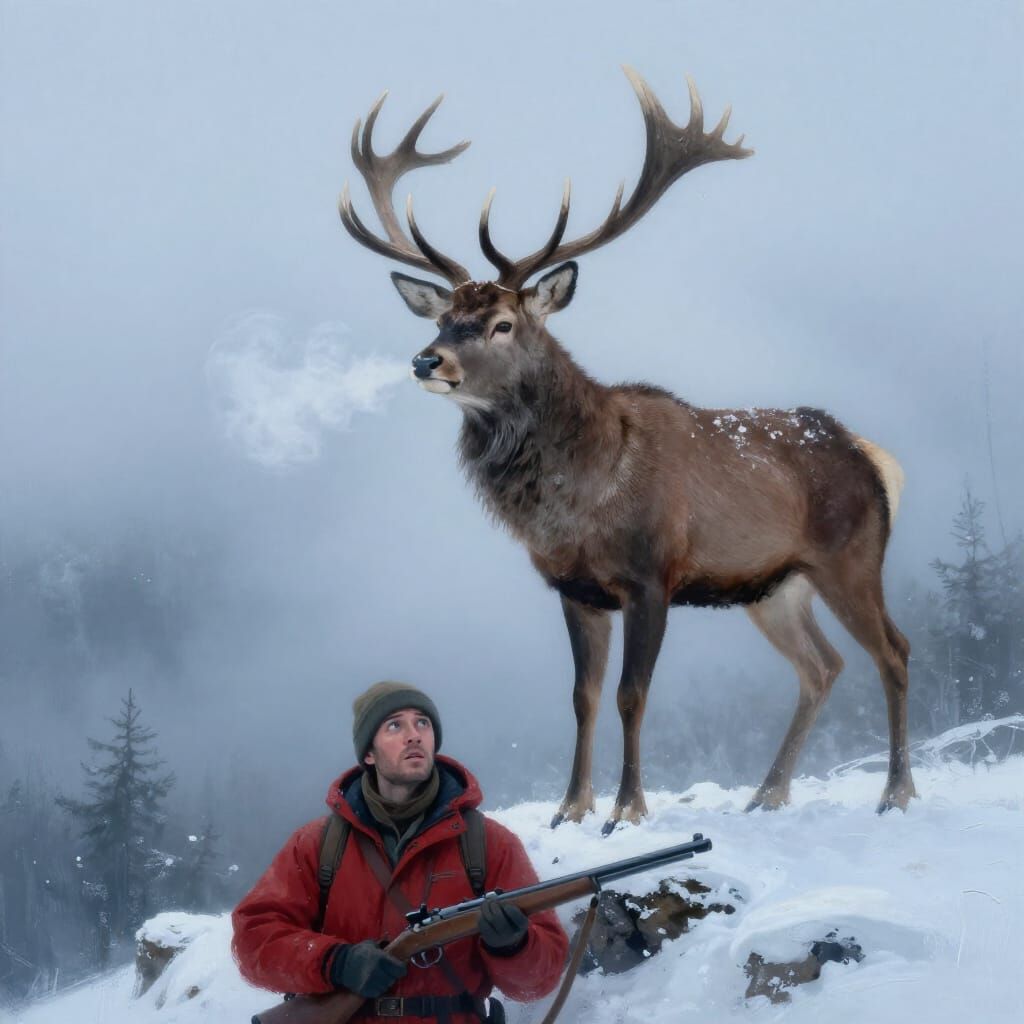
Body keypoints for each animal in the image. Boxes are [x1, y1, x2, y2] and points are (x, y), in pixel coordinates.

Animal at [337, 68, 917, 834]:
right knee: (822, 667)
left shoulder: (650, 575)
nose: (426, 360)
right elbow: (582, 697)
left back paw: (896, 792)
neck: (580, 497)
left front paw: (627, 809)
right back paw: (768, 793)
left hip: (851, 555)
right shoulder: (575, 588)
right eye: (443, 317)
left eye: (501, 324)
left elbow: (631, 694)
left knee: (894, 651)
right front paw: (570, 809)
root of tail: (874, 456)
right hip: (774, 585)